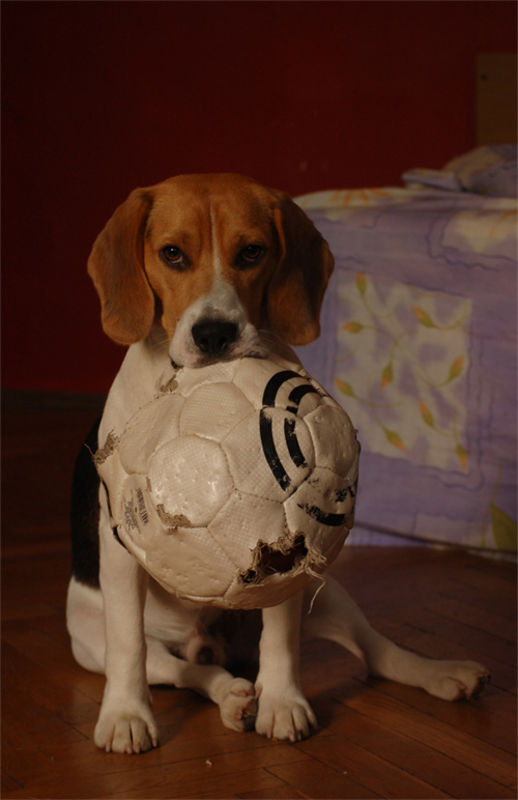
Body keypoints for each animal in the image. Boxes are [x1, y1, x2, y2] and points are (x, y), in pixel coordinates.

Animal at [67, 173, 490, 754]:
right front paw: (127, 715)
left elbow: (284, 637)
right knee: (181, 669)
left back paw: (438, 673)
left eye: (251, 252)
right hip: (90, 641)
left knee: (374, 651)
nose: (215, 333)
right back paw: (229, 693)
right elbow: (129, 645)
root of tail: (215, 642)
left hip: (326, 593)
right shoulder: (120, 552)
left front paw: (285, 701)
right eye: (172, 254)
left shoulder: (293, 558)